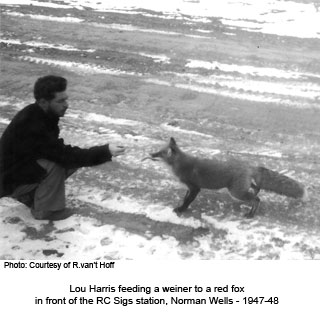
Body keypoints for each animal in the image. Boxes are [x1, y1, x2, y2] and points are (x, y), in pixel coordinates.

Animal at [146, 138, 308, 219]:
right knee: (256, 188)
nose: (150, 153)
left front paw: (181, 210)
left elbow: (187, 201)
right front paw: (180, 207)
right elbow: (185, 198)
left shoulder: (195, 188)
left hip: (236, 192)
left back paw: (251, 214)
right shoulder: (189, 188)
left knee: (257, 199)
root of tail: (249, 166)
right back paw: (255, 195)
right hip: (241, 189)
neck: (180, 164)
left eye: (159, 153)